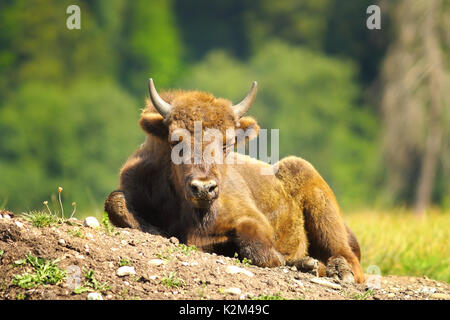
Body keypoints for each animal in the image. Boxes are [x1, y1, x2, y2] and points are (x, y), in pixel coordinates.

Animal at [105, 79, 366, 282]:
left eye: (228, 143)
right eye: (174, 141)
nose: (203, 188)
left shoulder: (252, 219)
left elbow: (257, 247)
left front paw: (292, 260)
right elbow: (116, 203)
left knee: (346, 255)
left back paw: (336, 271)